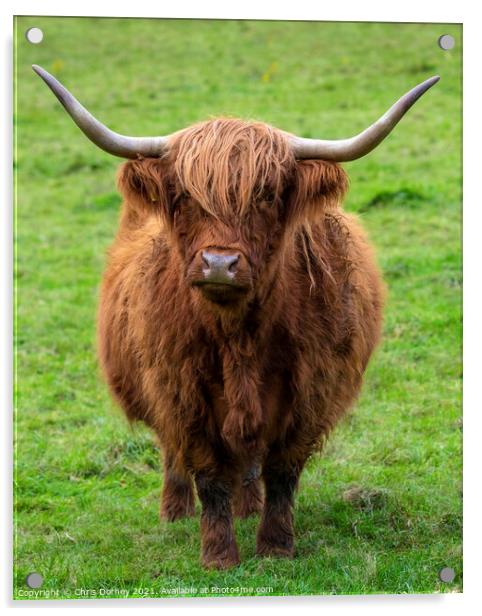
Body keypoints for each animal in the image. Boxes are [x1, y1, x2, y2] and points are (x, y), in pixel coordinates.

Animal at [34, 65, 440, 572]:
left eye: (265, 195)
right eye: (184, 196)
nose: (219, 264)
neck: (238, 338)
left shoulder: (309, 392)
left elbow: (282, 472)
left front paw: (275, 546)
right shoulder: (182, 391)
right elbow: (207, 473)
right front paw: (219, 556)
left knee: (248, 464)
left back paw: (248, 508)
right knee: (174, 454)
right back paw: (174, 512)